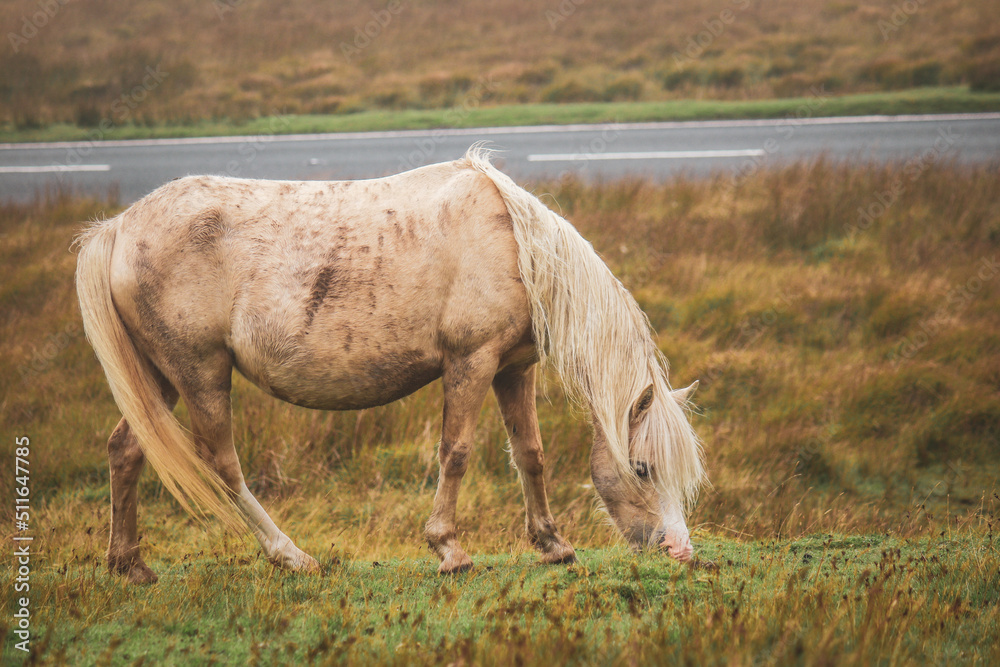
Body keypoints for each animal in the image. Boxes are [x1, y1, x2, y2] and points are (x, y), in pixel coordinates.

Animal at [75, 146, 705, 583]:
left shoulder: (512, 369)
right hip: (200, 374)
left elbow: (530, 455)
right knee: (221, 465)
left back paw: (129, 565)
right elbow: (456, 453)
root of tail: (119, 227)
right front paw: (449, 549)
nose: (679, 550)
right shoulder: (471, 363)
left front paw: (553, 545)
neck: (515, 246)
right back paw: (292, 556)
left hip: (160, 379)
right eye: (643, 468)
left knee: (125, 450)